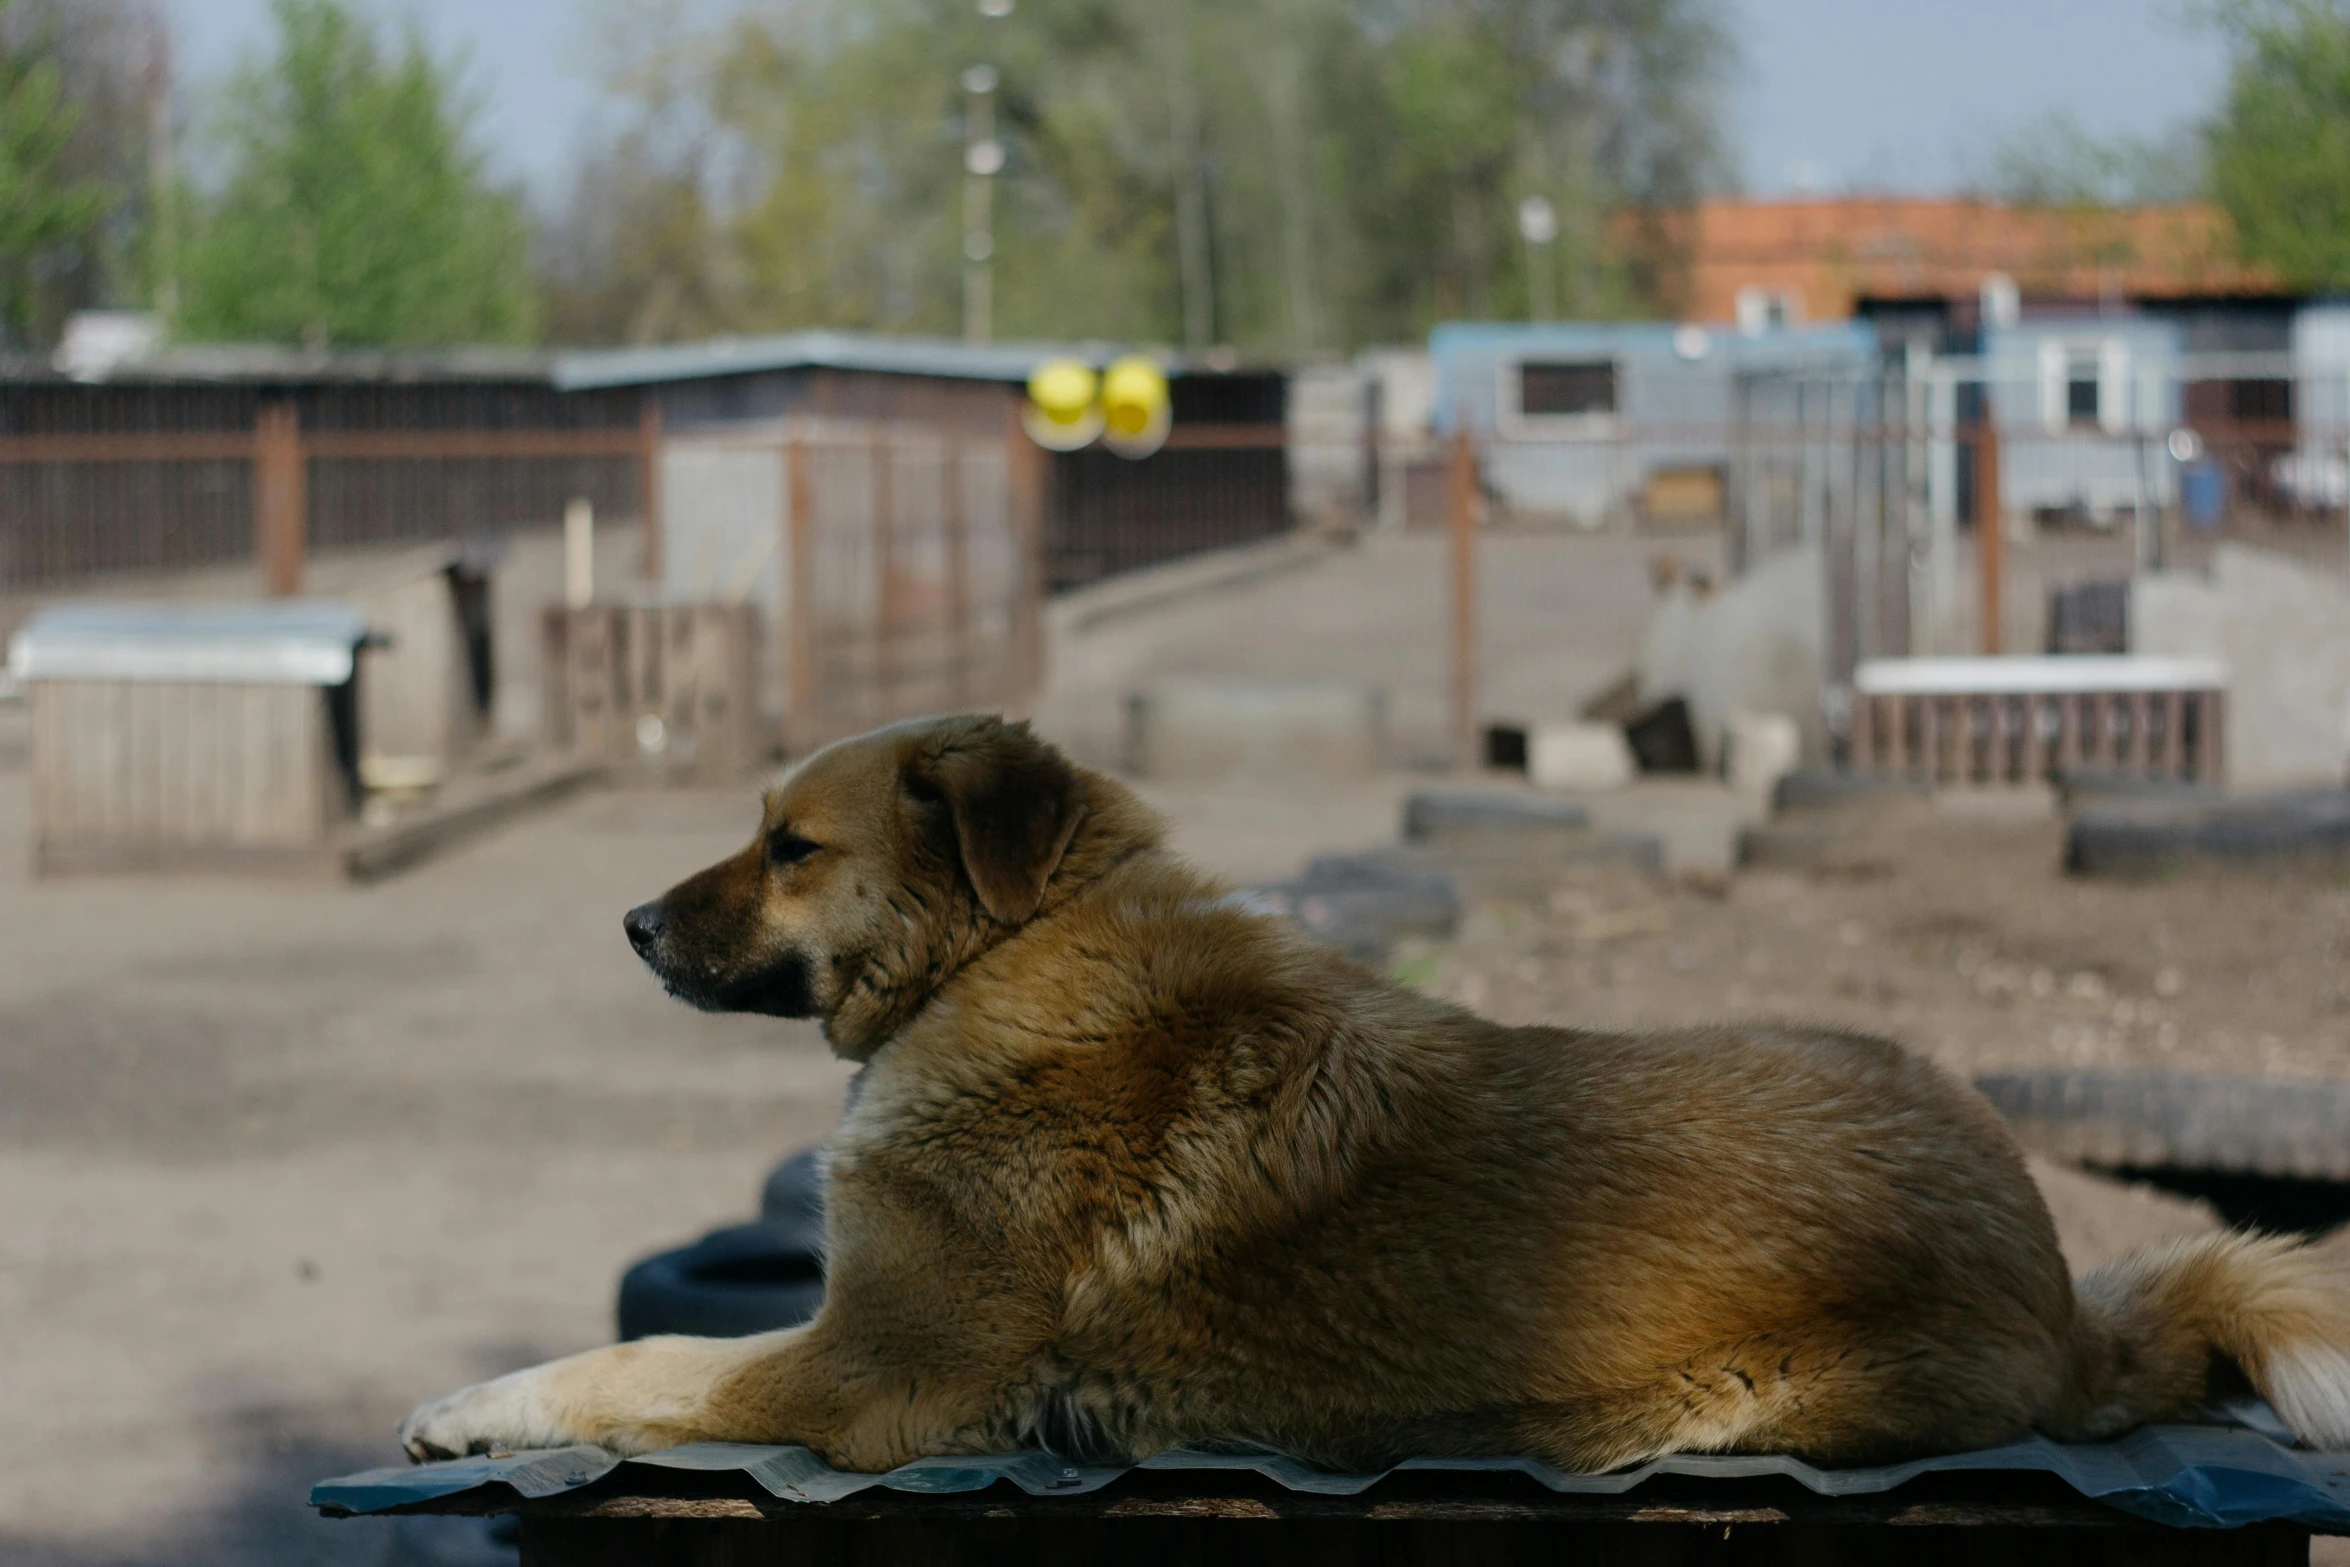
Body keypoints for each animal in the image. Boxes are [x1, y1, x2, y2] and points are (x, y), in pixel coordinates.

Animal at [399, 718, 2350, 1475]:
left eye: (789, 847)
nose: (631, 922)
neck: (1017, 954)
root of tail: (2062, 1284)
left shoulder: (875, 1371)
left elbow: (643, 1354)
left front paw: (470, 1402)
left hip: (1736, 1399)